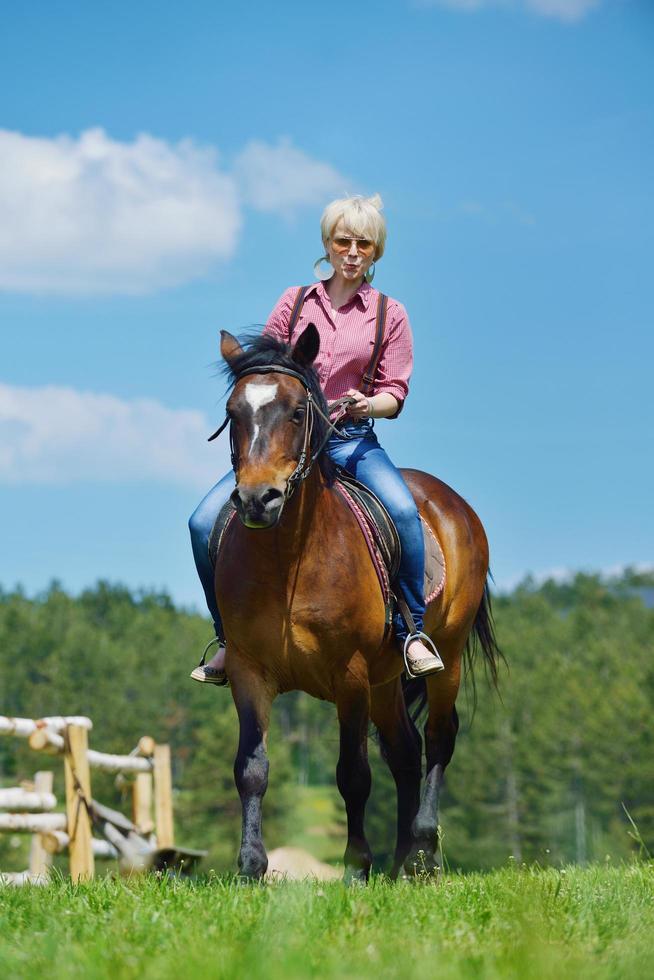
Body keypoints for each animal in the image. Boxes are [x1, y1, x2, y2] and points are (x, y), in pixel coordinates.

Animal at [214, 322, 502, 880]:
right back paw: (403, 861)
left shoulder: (348, 675)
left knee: (439, 738)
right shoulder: (247, 670)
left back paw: (423, 852)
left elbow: (353, 774)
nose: (258, 500)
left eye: (296, 412)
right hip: (386, 680)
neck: (288, 558)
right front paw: (251, 867)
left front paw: (355, 867)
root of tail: (454, 504)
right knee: (406, 752)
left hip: (447, 655)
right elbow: (251, 768)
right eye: (234, 413)